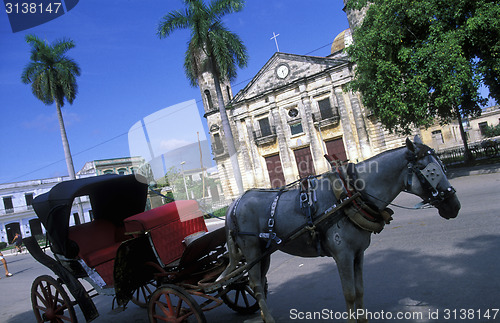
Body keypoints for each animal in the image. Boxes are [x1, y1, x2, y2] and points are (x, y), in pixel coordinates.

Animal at [220, 137, 460, 323]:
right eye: (431, 172)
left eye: (442, 168)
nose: (454, 206)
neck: (351, 194)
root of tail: (234, 204)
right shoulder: (343, 255)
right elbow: (350, 293)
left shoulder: (358, 253)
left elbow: (360, 289)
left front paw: (363, 320)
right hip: (251, 249)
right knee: (256, 284)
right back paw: (268, 318)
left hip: (263, 253)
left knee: (258, 282)